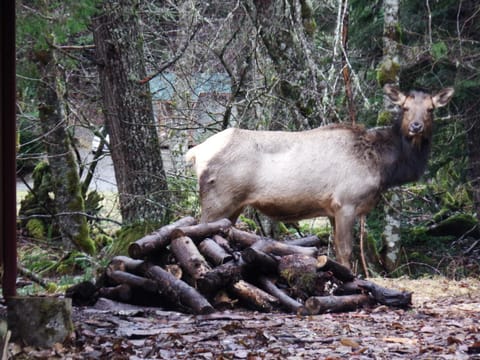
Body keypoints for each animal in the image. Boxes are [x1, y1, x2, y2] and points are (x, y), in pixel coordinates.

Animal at [185, 85, 454, 268]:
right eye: (405, 108)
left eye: (430, 109)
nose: (416, 127)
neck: (383, 166)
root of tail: (195, 153)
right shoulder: (346, 202)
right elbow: (345, 251)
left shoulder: (332, 209)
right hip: (218, 199)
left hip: (234, 205)